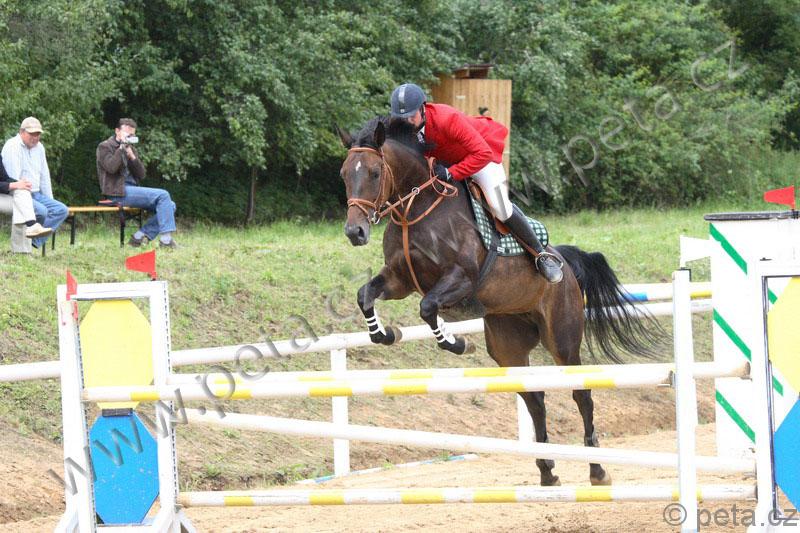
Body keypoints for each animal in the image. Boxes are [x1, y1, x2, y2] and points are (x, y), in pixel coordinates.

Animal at [336, 116, 663, 487]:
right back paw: (547, 471)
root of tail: (565, 263)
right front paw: (385, 334)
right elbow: (366, 296)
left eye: (375, 173)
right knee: (535, 399)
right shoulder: (398, 280)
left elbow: (428, 308)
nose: (355, 232)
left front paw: (457, 343)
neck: (413, 211)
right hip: (508, 347)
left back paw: (597, 469)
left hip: (563, 340)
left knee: (581, 393)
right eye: (344, 174)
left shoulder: (460, 278)